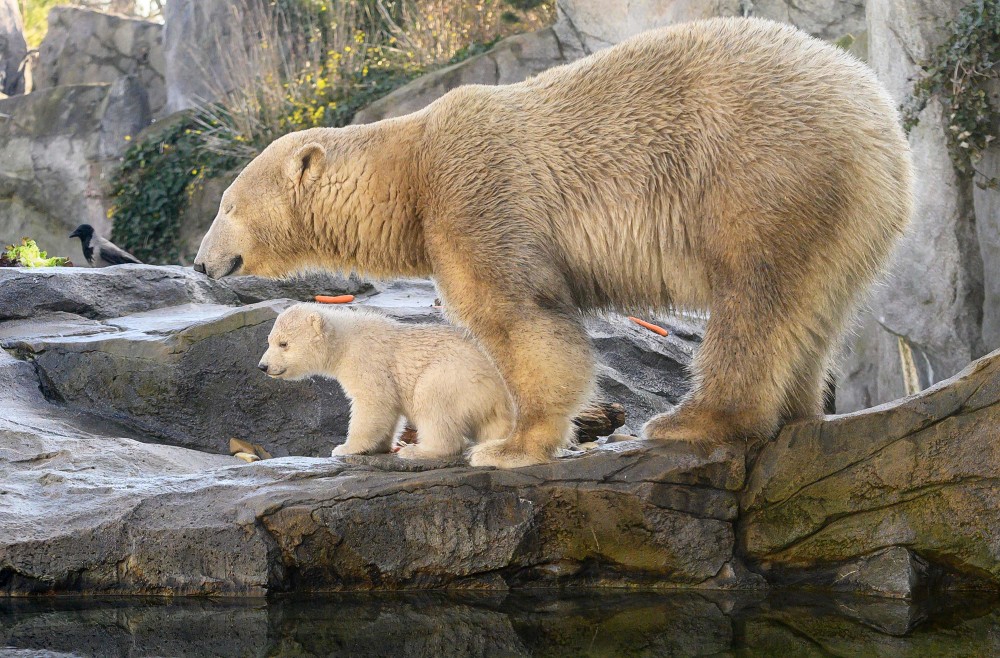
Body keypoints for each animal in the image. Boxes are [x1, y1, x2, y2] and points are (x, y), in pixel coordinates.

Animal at [193, 15, 916, 466]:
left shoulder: (475, 197)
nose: (200, 261)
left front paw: (511, 446)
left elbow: (522, 319)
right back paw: (794, 412)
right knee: (810, 308)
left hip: (763, 169)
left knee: (754, 299)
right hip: (841, 211)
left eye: (227, 204)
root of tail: (880, 121)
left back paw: (692, 419)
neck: (409, 169)